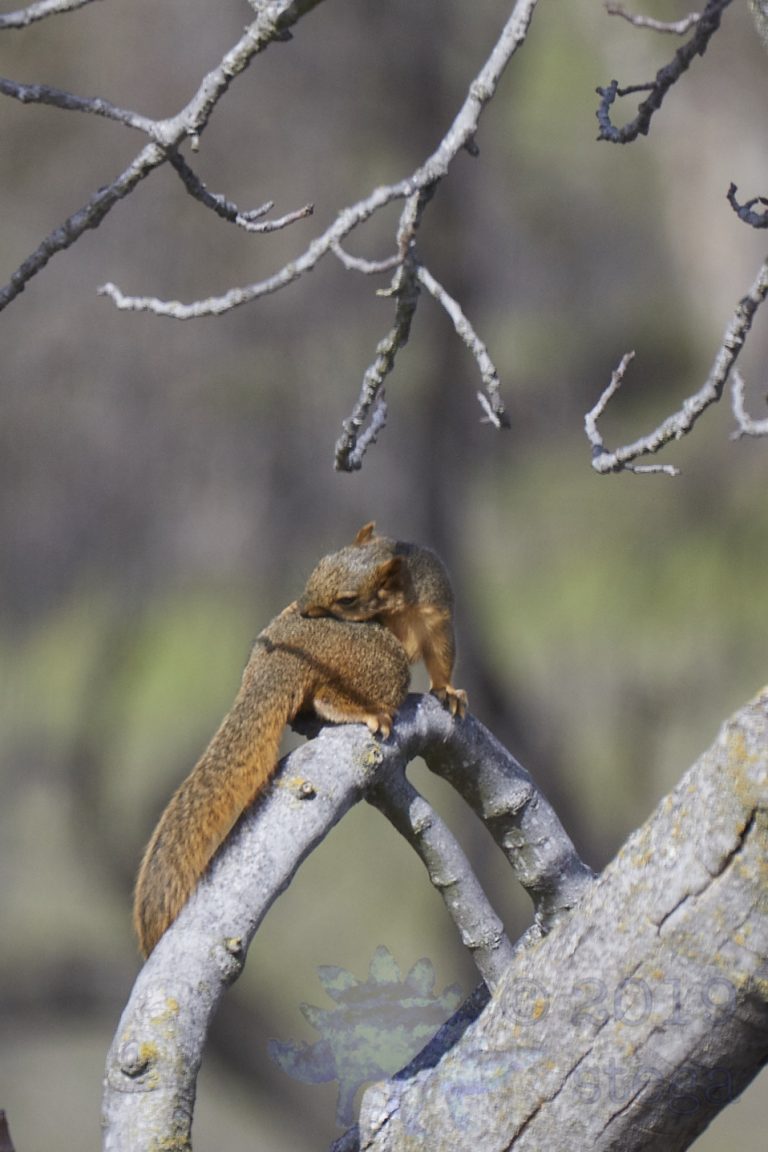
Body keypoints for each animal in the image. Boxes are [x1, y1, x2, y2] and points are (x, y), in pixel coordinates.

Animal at [133, 523, 465, 958]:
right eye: (317, 566)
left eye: (348, 598)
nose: (307, 607)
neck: (401, 597)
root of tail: (280, 662)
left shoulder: (436, 612)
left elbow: (441, 657)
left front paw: (448, 692)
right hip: (381, 663)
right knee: (330, 694)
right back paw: (366, 711)